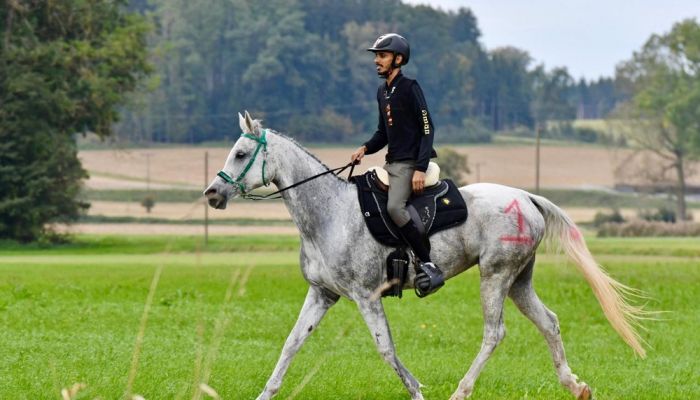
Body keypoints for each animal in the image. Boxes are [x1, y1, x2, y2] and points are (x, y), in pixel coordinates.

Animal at [202, 111, 644, 400]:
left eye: (240, 154)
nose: (212, 194)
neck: (329, 214)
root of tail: (525, 197)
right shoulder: (322, 294)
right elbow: (291, 344)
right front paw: (266, 393)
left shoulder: (365, 296)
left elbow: (385, 349)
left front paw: (417, 390)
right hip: (519, 280)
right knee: (549, 322)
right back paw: (575, 386)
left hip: (495, 276)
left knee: (494, 333)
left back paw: (462, 391)